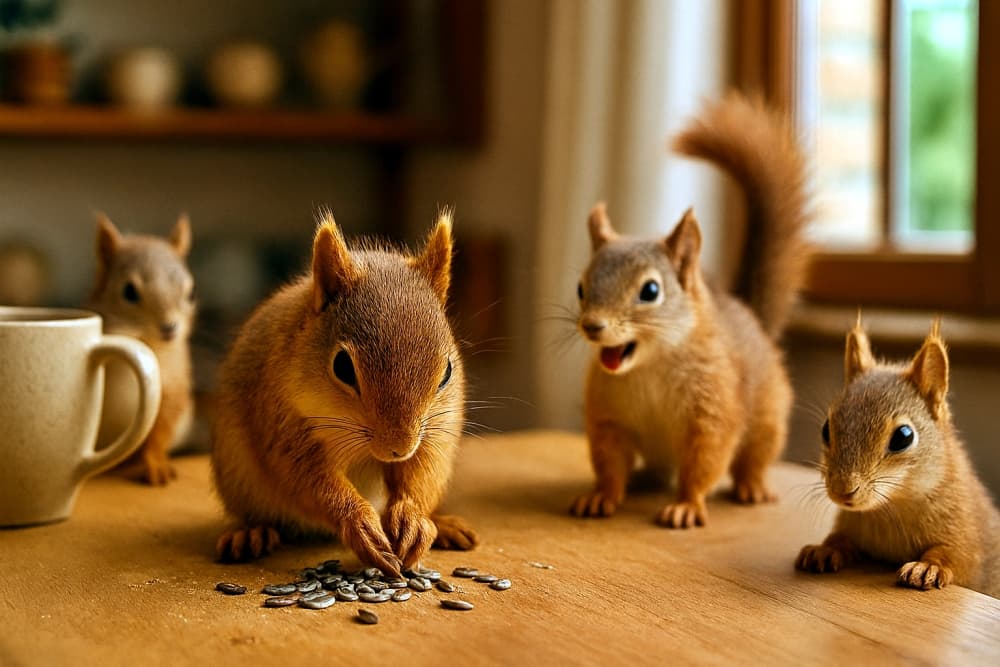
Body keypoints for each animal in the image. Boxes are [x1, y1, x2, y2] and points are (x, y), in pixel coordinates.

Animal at [88, 213, 195, 486]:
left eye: (191, 292)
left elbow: (159, 433)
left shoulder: (172, 387)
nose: (169, 327)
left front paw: (157, 464)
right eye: (129, 291)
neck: (146, 344)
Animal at [210, 210, 479, 575]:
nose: (398, 448)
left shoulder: (436, 430)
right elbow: (305, 478)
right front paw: (359, 523)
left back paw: (442, 524)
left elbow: (423, 469)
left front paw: (412, 519)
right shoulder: (280, 419)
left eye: (447, 372)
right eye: (342, 367)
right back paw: (251, 533)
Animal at [570, 93, 810, 529]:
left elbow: (705, 460)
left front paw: (686, 505)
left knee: (754, 457)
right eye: (581, 287)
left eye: (650, 290)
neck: (648, 366)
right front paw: (601, 496)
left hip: (768, 417)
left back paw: (752, 487)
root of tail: (749, 317)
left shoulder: (713, 409)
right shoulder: (609, 418)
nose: (592, 326)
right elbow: (608, 461)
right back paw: (642, 479)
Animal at [796, 319, 1000, 597]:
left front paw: (928, 567)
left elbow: (957, 556)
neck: (889, 508)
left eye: (904, 437)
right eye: (826, 429)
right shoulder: (850, 525)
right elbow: (839, 538)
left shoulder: (967, 530)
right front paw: (824, 549)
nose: (842, 491)